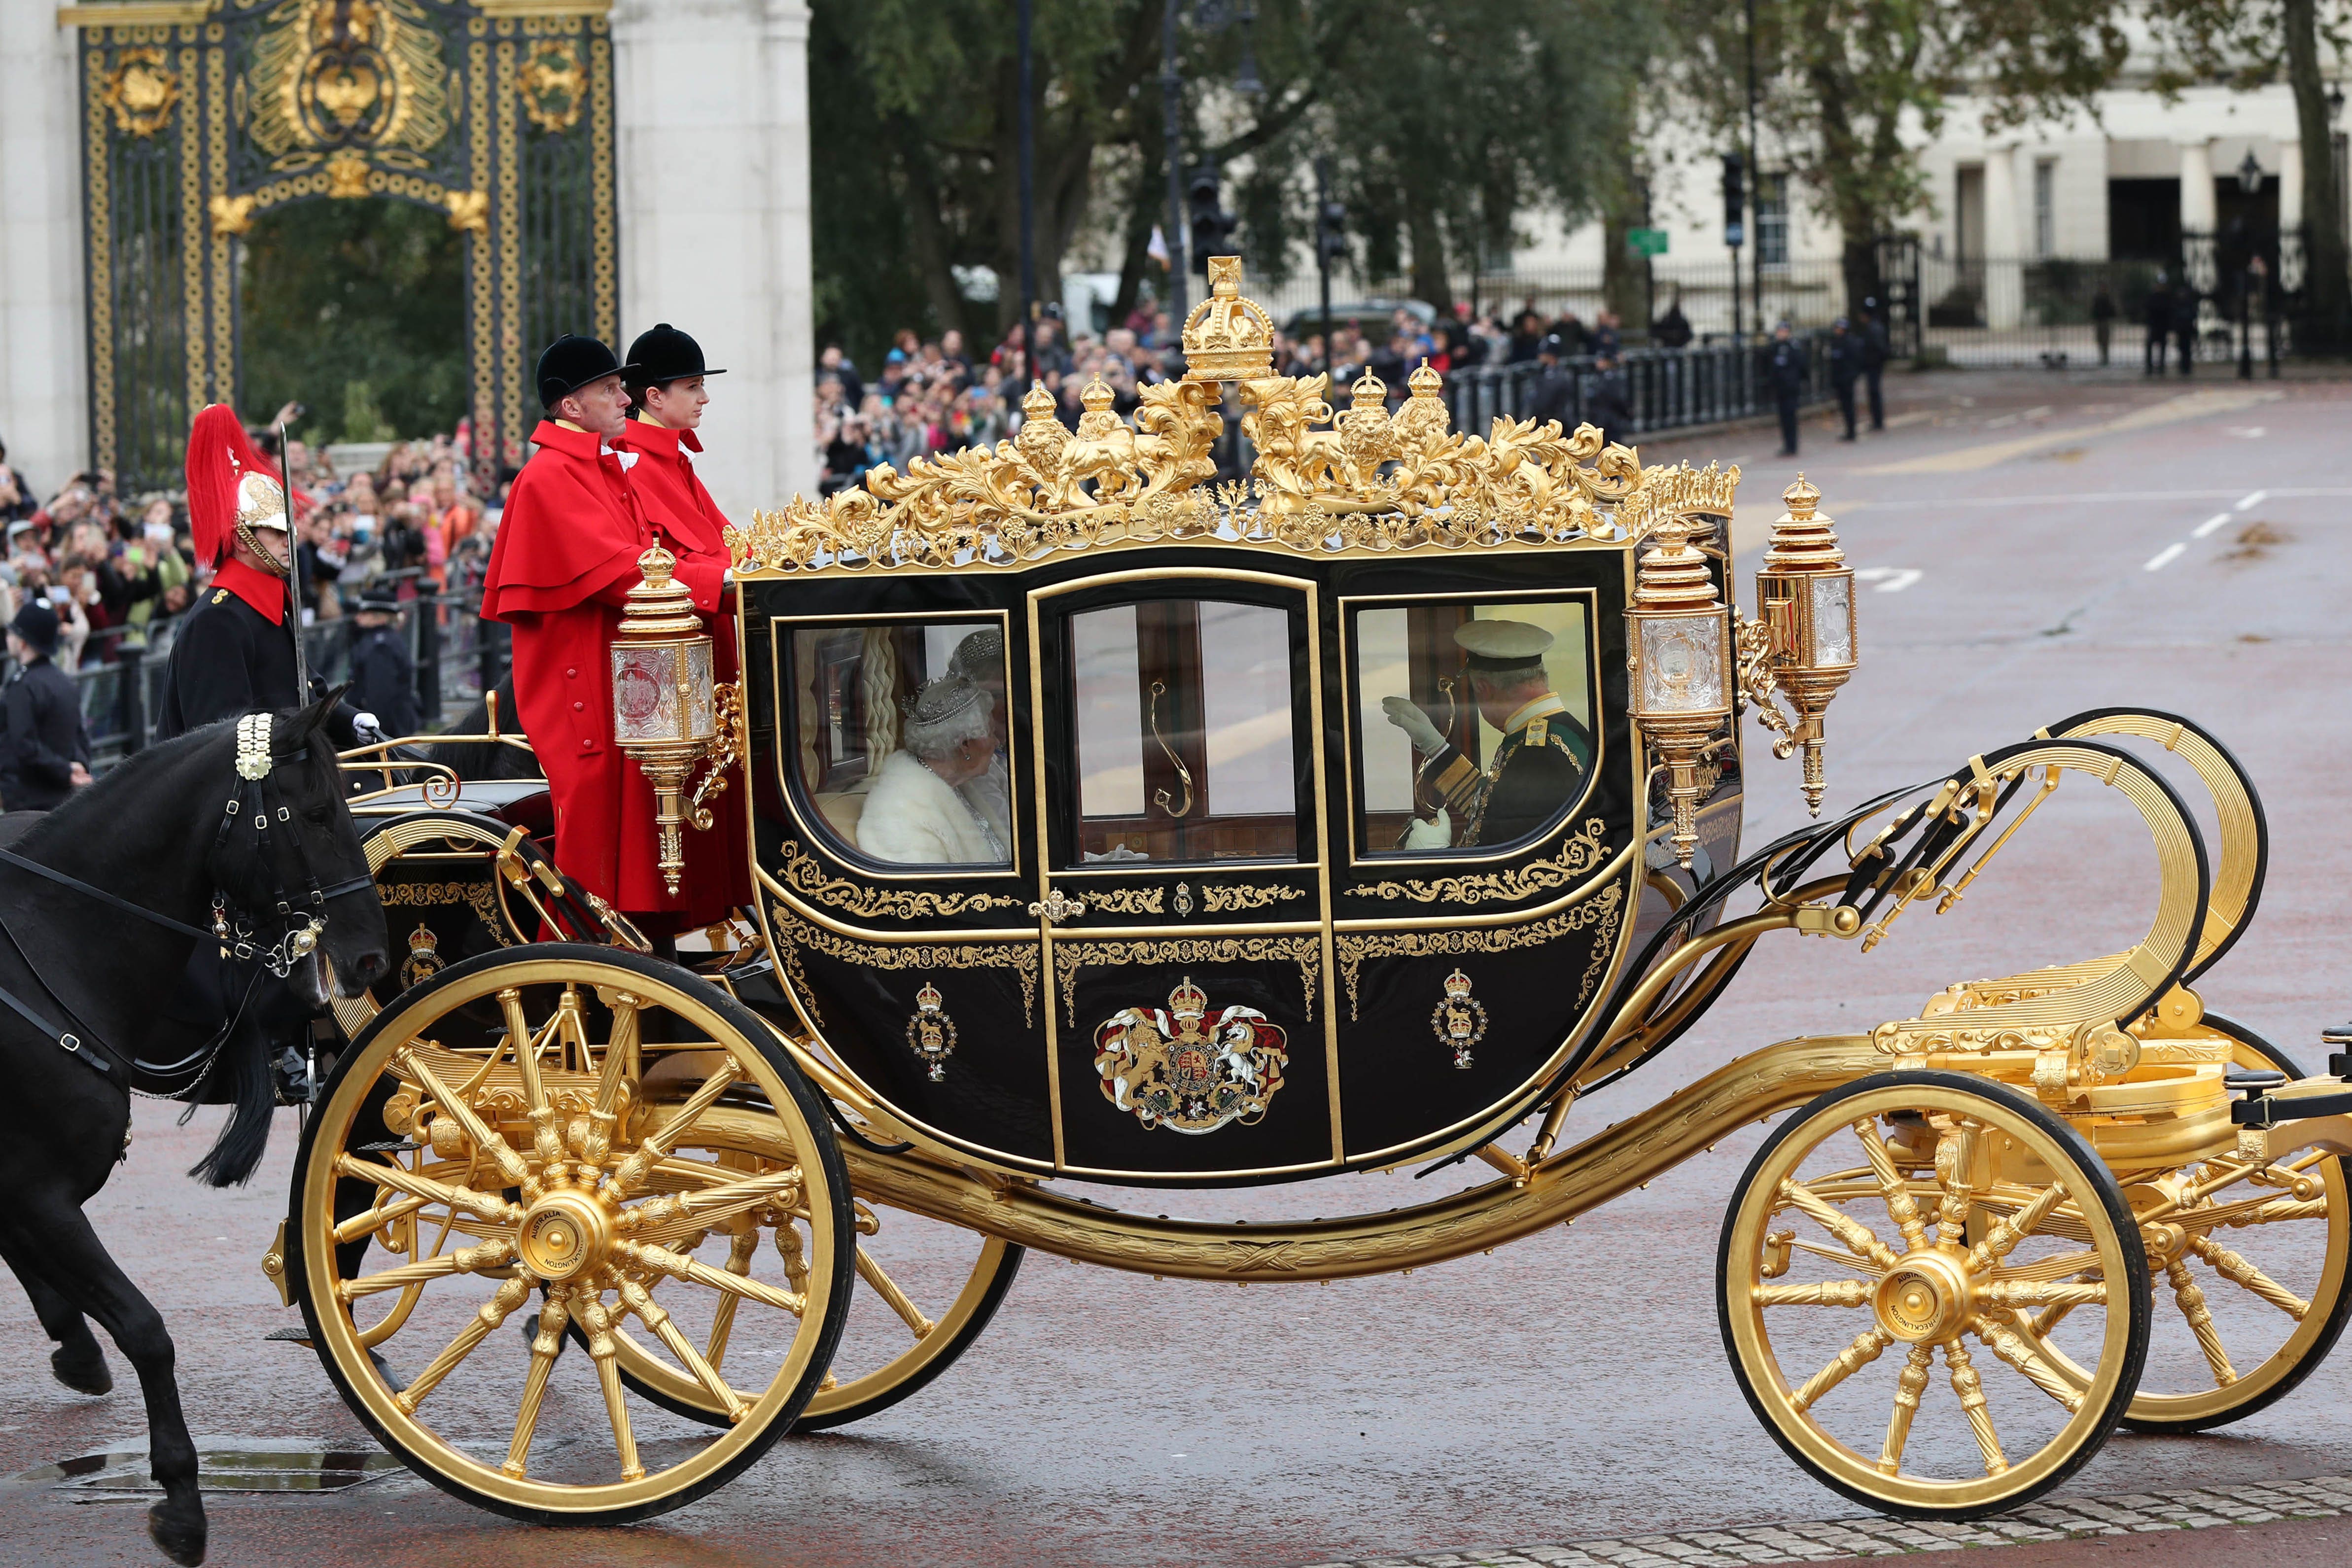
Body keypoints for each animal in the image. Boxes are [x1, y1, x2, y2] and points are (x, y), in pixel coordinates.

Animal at [0, 700, 386, 1568]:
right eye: (319, 812)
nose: (371, 956)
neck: (46, 948)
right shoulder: (38, 1193)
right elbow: (148, 1331)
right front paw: (181, 1500)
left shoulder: (29, 1196)